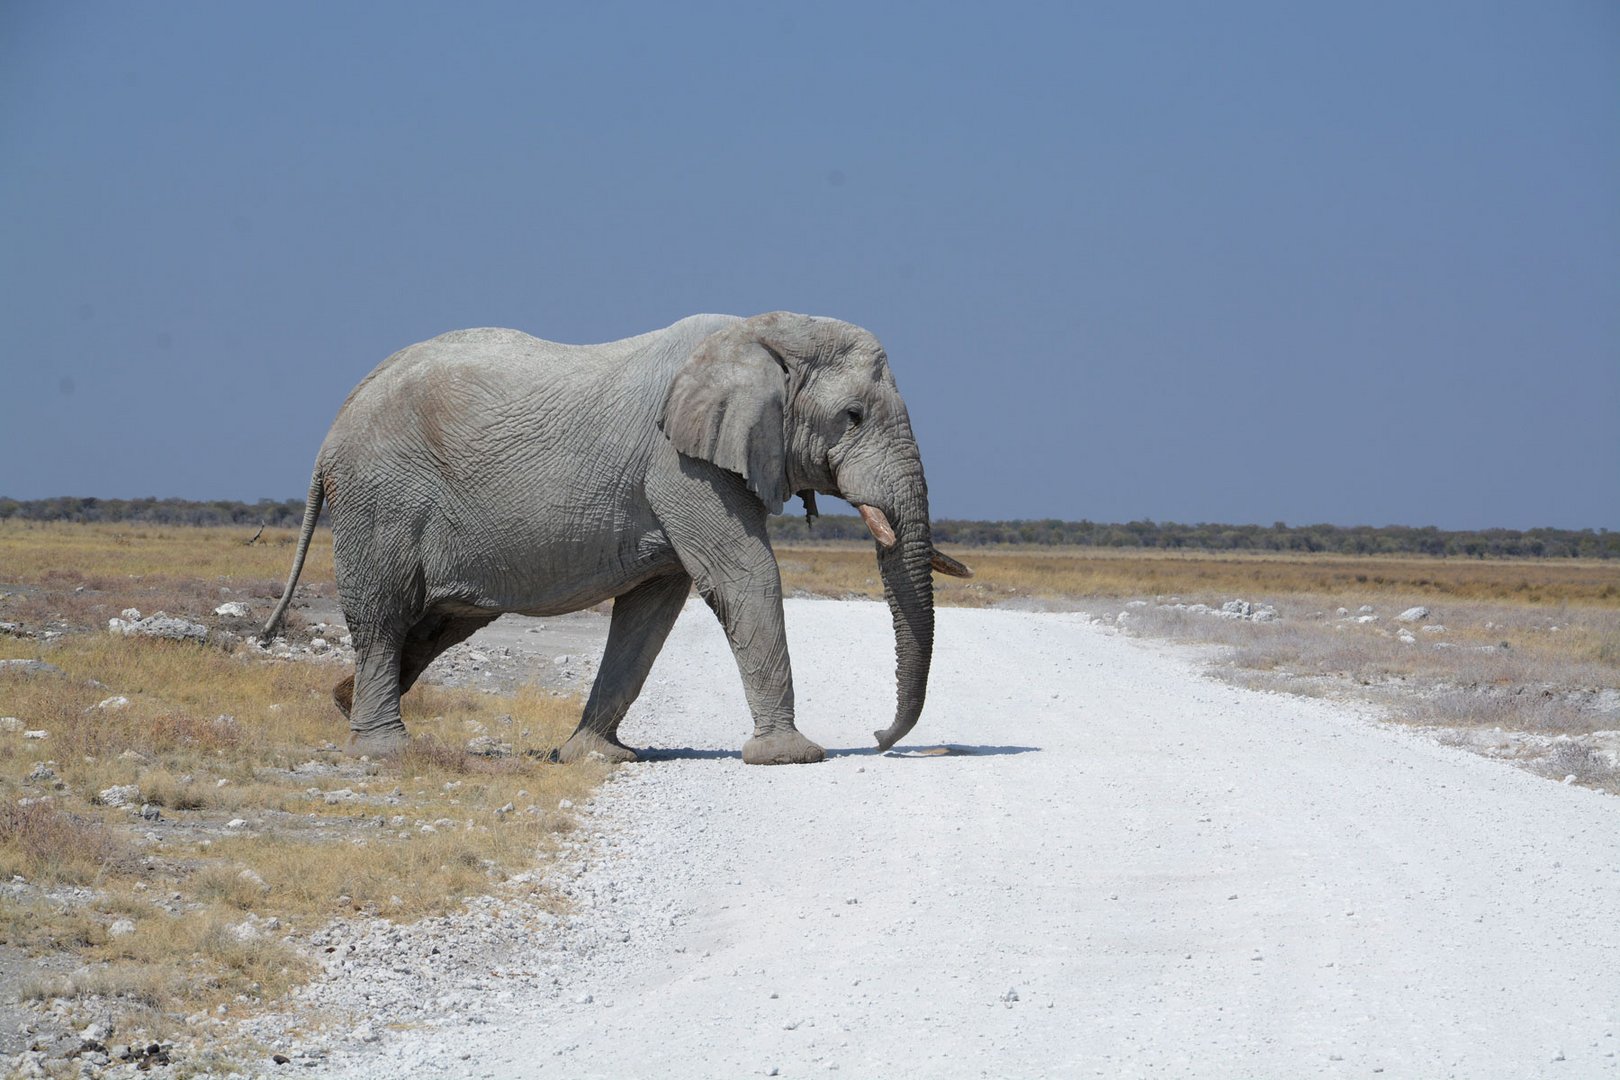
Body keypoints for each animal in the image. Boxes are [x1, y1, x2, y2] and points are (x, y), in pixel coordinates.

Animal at [262, 312, 972, 764]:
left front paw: (597, 757)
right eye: (851, 417)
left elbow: (651, 612)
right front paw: (791, 757)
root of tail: (333, 426)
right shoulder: (680, 462)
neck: (764, 331)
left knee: (439, 622)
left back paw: (342, 700)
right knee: (385, 617)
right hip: (380, 499)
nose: (879, 737)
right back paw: (386, 751)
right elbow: (745, 576)